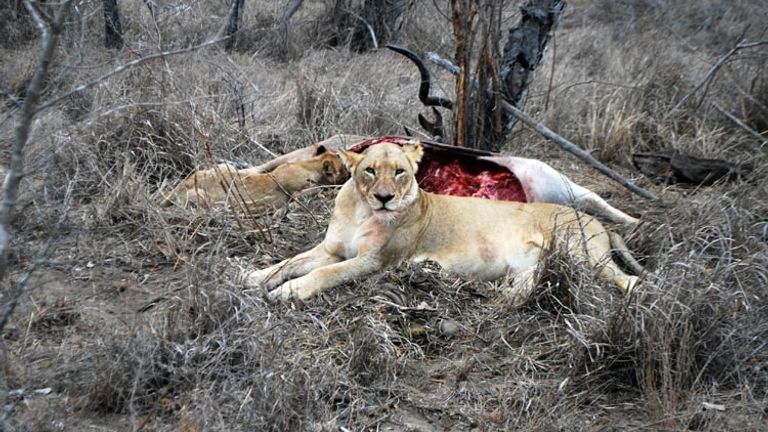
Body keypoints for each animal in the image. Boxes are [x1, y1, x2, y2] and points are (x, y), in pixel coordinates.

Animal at [159, 145, 348, 210]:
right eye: (345, 168)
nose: (349, 174)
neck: (310, 164)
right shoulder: (291, 189)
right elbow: (313, 189)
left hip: (225, 167)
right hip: (202, 196)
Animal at [241, 142, 641, 303]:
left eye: (400, 172)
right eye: (370, 171)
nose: (385, 197)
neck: (361, 210)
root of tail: (599, 224)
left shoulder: (375, 261)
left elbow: (325, 274)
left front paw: (289, 292)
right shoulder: (331, 249)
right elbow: (290, 262)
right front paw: (252, 276)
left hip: (584, 255)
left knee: (630, 281)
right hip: (532, 266)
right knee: (528, 284)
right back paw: (500, 300)